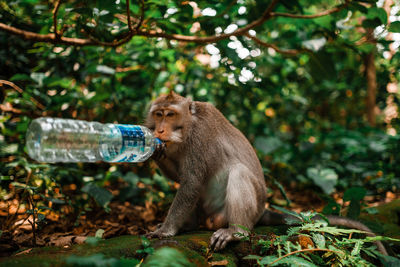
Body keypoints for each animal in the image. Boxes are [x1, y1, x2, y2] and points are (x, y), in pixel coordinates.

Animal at [145, 92, 388, 258]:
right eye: (158, 114)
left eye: (170, 114)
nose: (159, 130)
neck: (187, 126)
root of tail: (262, 211)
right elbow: (181, 179)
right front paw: (156, 151)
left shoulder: (200, 137)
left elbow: (191, 183)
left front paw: (166, 231)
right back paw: (190, 225)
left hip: (240, 213)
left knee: (239, 173)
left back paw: (235, 232)